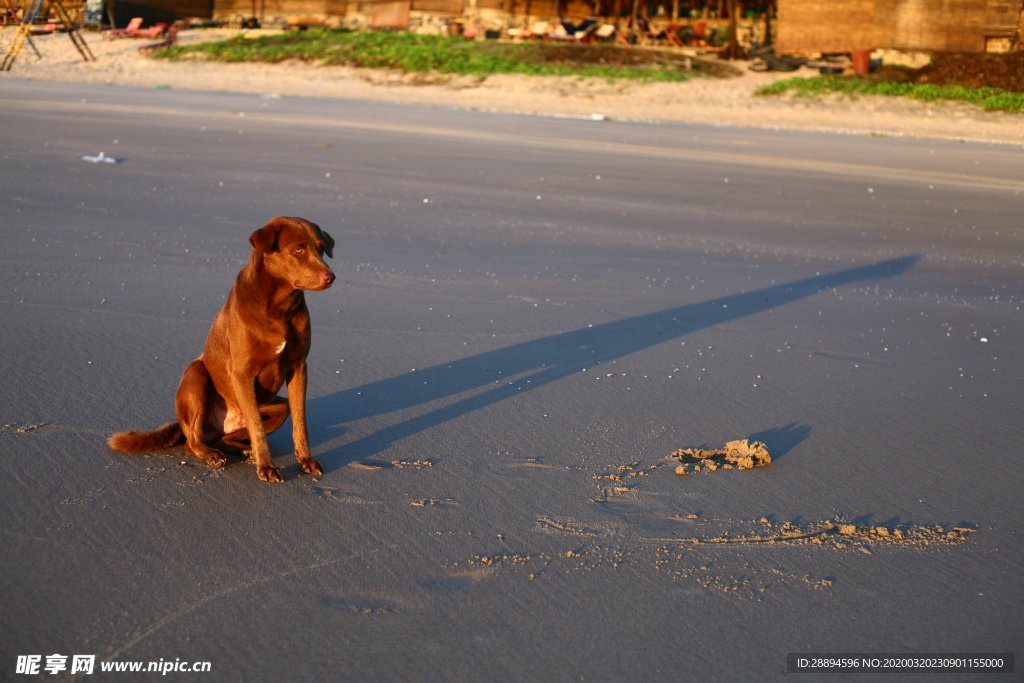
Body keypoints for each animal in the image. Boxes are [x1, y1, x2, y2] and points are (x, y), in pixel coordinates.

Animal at [110, 216, 337, 483]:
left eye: (321, 249)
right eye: (298, 250)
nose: (330, 277)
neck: (279, 307)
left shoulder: (299, 367)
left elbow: (300, 421)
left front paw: (305, 460)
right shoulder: (242, 373)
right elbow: (257, 427)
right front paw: (267, 466)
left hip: (279, 407)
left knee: (228, 436)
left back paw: (244, 451)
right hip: (195, 375)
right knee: (193, 441)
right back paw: (213, 455)